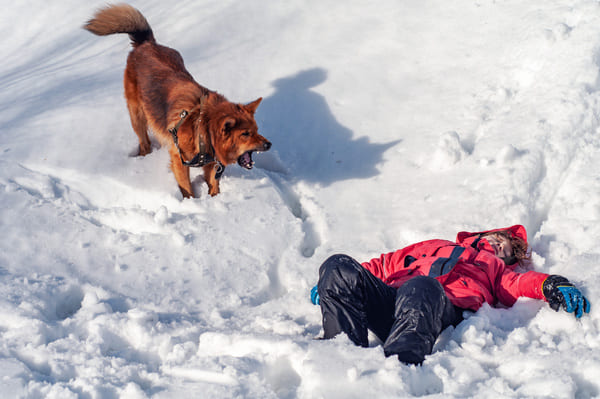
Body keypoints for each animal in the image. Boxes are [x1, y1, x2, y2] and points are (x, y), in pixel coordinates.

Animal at [84, 3, 272, 197]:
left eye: (256, 130)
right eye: (245, 134)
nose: (269, 144)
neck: (203, 127)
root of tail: (146, 43)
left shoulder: (212, 164)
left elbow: (213, 185)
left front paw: (215, 199)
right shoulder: (179, 160)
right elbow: (187, 188)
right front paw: (192, 202)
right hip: (137, 116)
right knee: (144, 142)